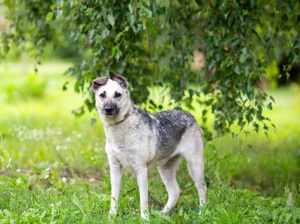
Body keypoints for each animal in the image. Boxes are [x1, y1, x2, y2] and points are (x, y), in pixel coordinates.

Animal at [92, 72, 207, 220]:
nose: (108, 109)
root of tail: (189, 115)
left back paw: (202, 213)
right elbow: (114, 197)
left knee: (202, 189)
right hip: (165, 169)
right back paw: (163, 214)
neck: (120, 126)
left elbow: (143, 199)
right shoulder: (115, 168)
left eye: (118, 94)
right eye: (102, 95)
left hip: (195, 166)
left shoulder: (141, 169)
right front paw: (111, 217)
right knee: (175, 191)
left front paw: (144, 218)